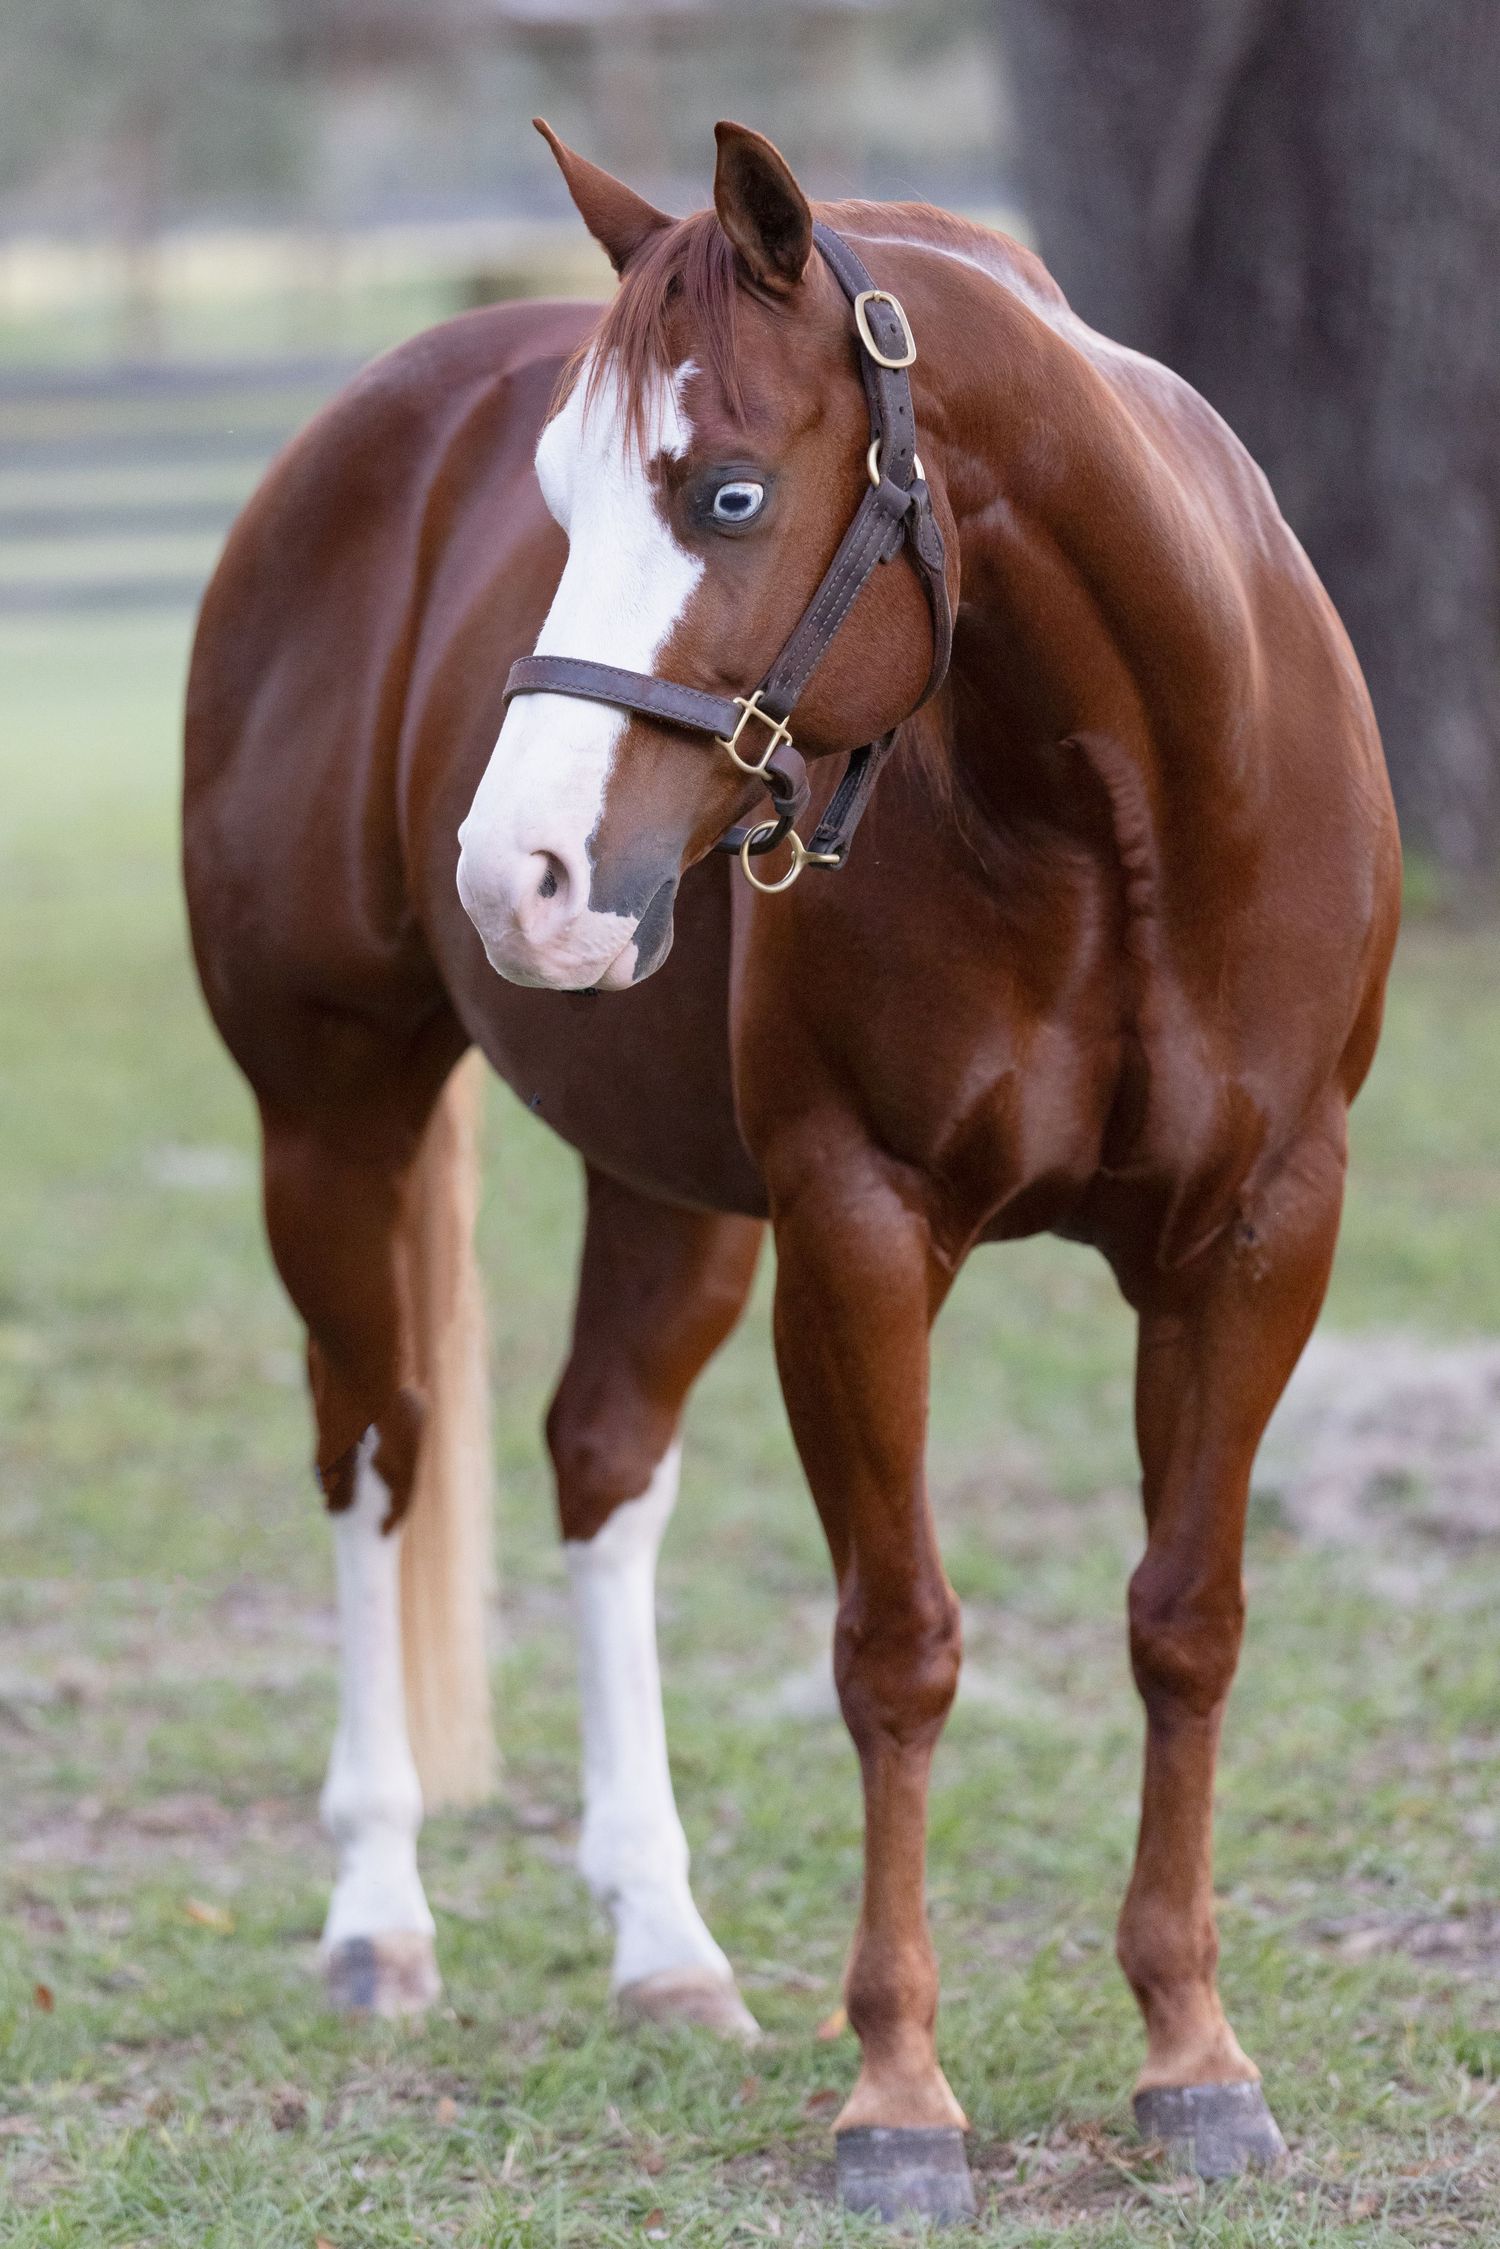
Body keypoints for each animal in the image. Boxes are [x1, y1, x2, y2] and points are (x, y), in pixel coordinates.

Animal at [183, 119, 1400, 2223]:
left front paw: (1194, 2056)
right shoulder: (858, 1225)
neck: (1119, 801)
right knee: (377, 1454)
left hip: (664, 1182)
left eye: (728, 490)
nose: (515, 875)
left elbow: (1187, 1616)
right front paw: (900, 2092)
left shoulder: (1258, 1235)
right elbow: (896, 1644)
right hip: (330, 1117)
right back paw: (377, 1914)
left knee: (599, 1459)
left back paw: (665, 1949)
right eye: (558, 500)